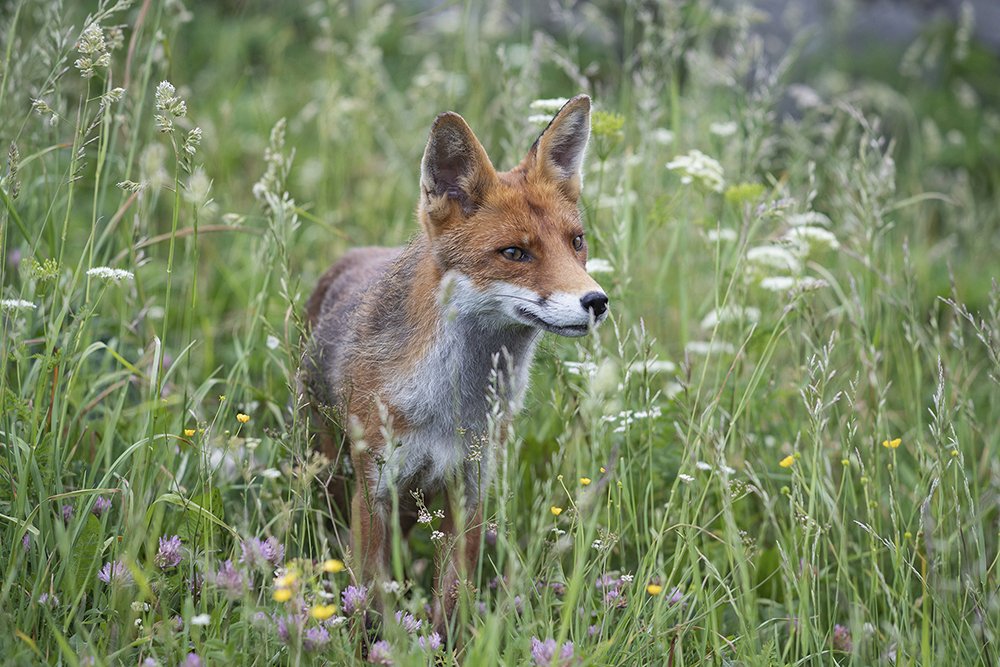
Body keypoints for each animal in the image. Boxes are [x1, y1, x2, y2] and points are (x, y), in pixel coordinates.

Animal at [300, 94, 608, 633]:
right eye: (514, 252)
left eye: (576, 242)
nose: (597, 301)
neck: (449, 406)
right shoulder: (374, 491)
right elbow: (368, 596)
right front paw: (376, 643)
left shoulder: (471, 488)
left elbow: (452, 598)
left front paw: (443, 643)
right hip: (334, 475)